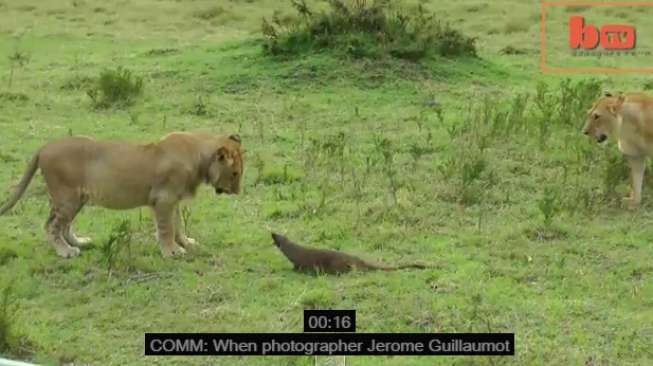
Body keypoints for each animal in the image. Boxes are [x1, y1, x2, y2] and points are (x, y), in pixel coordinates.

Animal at [0, 132, 243, 258]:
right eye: (235, 173)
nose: (238, 192)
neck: (199, 157)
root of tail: (44, 147)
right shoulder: (163, 199)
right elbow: (167, 228)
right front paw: (172, 251)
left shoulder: (173, 199)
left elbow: (178, 226)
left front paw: (187, 243)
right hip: (67, 197)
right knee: (51, 226)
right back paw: (66, 251)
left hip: (75, 199)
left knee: (64, 225)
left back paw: (80, 242)